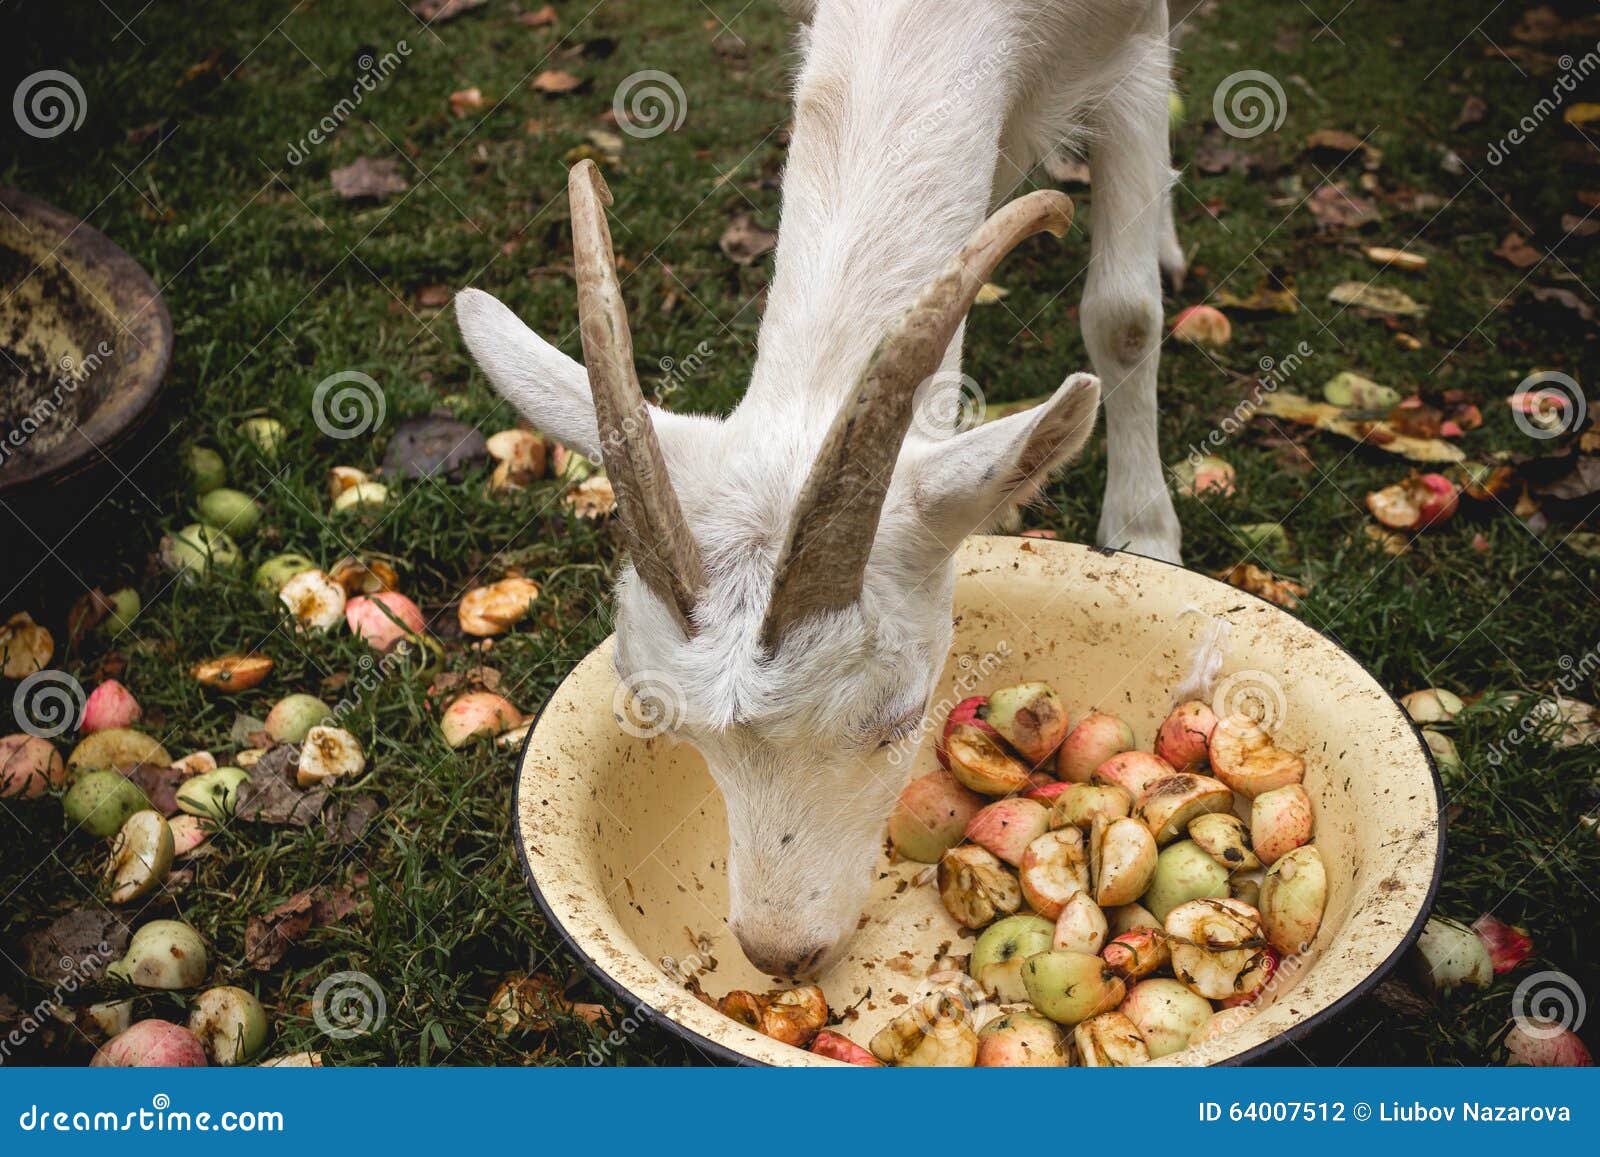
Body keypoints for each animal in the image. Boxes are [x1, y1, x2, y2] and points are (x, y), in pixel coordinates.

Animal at [464, 0, 1190, 979]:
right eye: (664, 719)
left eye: (900, 715)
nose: (780, 951)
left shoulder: (1136, 48)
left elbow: (1124, 316)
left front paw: (1146, 534)